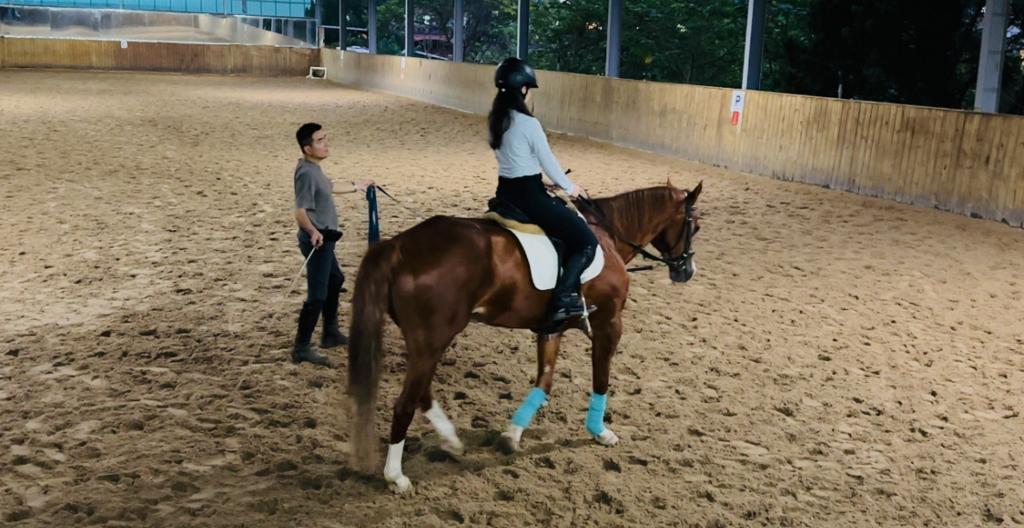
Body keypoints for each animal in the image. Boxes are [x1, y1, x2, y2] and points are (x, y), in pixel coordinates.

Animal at [346, 180, 703, 492]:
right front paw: (599, 431)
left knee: (421, 393)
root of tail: (398, 246)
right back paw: (396, 476)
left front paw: (512, 435)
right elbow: (601, 379)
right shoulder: (610, 324)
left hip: (426, 343)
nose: (687, 271)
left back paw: (451, 440)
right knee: (406, 402)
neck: (608, 237)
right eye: (695, 227)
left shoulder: (552, 328)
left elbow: (544, 382)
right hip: (432, 340)